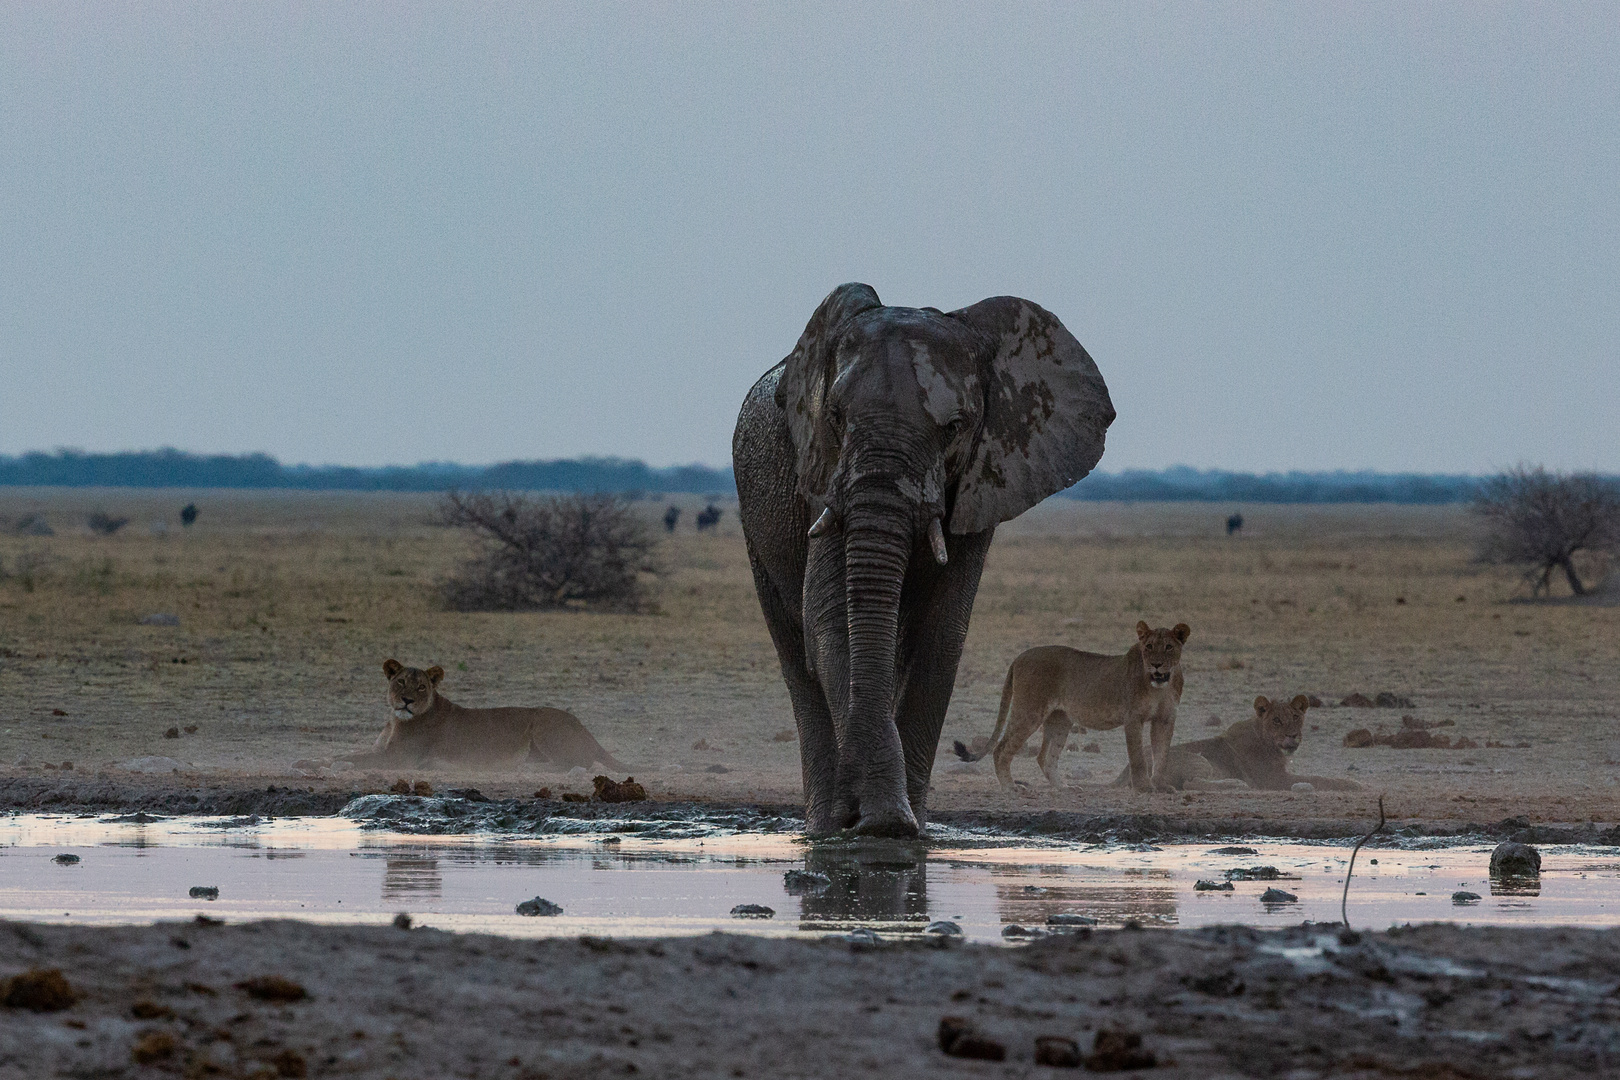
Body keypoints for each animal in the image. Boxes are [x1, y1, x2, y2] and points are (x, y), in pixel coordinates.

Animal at [735, 283, 1114, 841]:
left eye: (955, 427)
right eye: (835, 417)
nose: (861, 815)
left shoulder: (982, 483)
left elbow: (943, 634)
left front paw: (900, 826)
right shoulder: (823, 475)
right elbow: (830, 620)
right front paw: (873, 823)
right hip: (754, 518)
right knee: (796, 656)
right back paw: (822, 830)